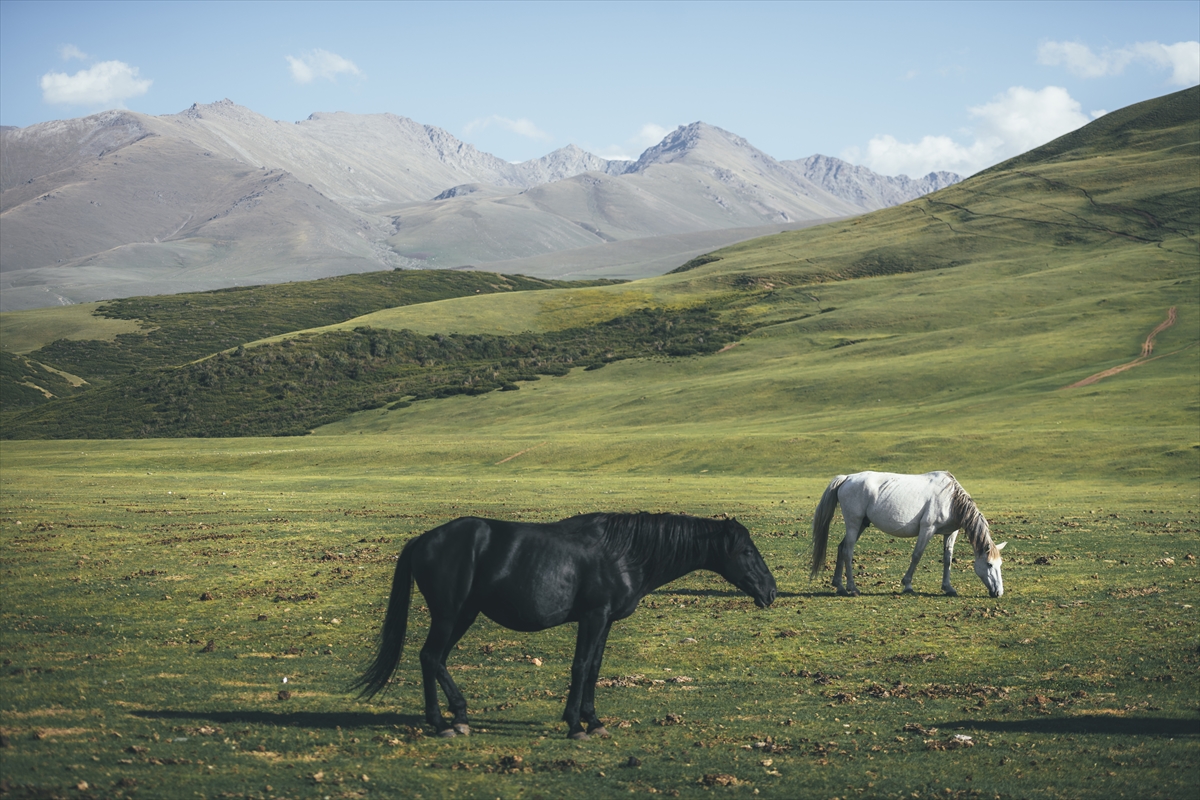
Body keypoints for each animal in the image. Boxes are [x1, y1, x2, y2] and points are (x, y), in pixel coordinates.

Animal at [350, 513, 777, 738]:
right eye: (746, 551)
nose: (772, 591)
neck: (624, 555)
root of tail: (424, 539)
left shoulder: (605, 621)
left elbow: (595, 668)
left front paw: (594, 720)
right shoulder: (593, 617)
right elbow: (581, 666)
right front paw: (575, 725)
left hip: (464, 615)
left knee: (433, 659)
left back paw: (454, 718)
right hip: (449, 614)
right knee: (430, 657)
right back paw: (445, 722)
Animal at [806, 472, 1003, 597]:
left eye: (1000, 564)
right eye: (989, 564)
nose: (999, 593)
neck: (950, 498)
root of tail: (847, 478)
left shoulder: (950, 533)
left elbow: (948, 559)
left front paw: (948, 588)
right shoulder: (927, 528)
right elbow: (917, 555)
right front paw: (907, 584)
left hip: (861, 524)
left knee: (841, 548)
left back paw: (839, 586)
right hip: (854, 522)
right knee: (847, 551)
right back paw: (852, 588)